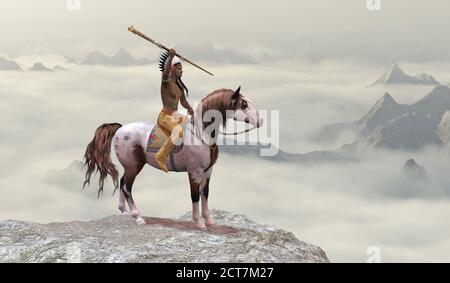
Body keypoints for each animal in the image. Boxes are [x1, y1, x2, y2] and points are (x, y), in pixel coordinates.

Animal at [82, 87, 262, 231]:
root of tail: (120, 129)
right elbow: (195, 195)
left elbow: (205, 193)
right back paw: (138, 217)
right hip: (134, 166)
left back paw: (125, 212)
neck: (200, 135)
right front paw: (199, 223)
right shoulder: (194, 172)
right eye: (243, 103)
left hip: (130, 167)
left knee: (122, 181)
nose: (260, 120)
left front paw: (209, 221)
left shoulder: (208, 171)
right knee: (127, 187)